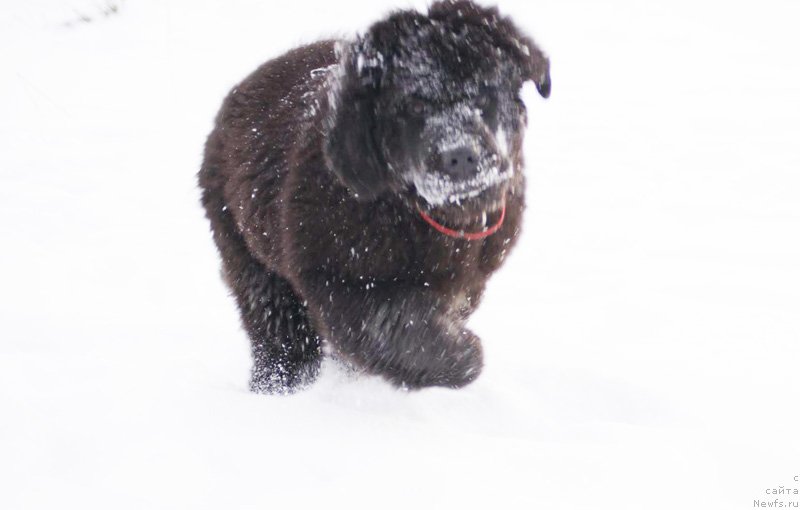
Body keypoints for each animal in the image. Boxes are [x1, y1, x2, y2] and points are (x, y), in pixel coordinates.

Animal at [198, 0, 552, 394]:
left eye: (482, 94)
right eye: (415, 106)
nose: (458, 155)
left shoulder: (470, 277)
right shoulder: (338, 278)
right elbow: (392, 329)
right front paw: (462, 357)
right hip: (248, 253)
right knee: (281, 332)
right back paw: (278, 386)